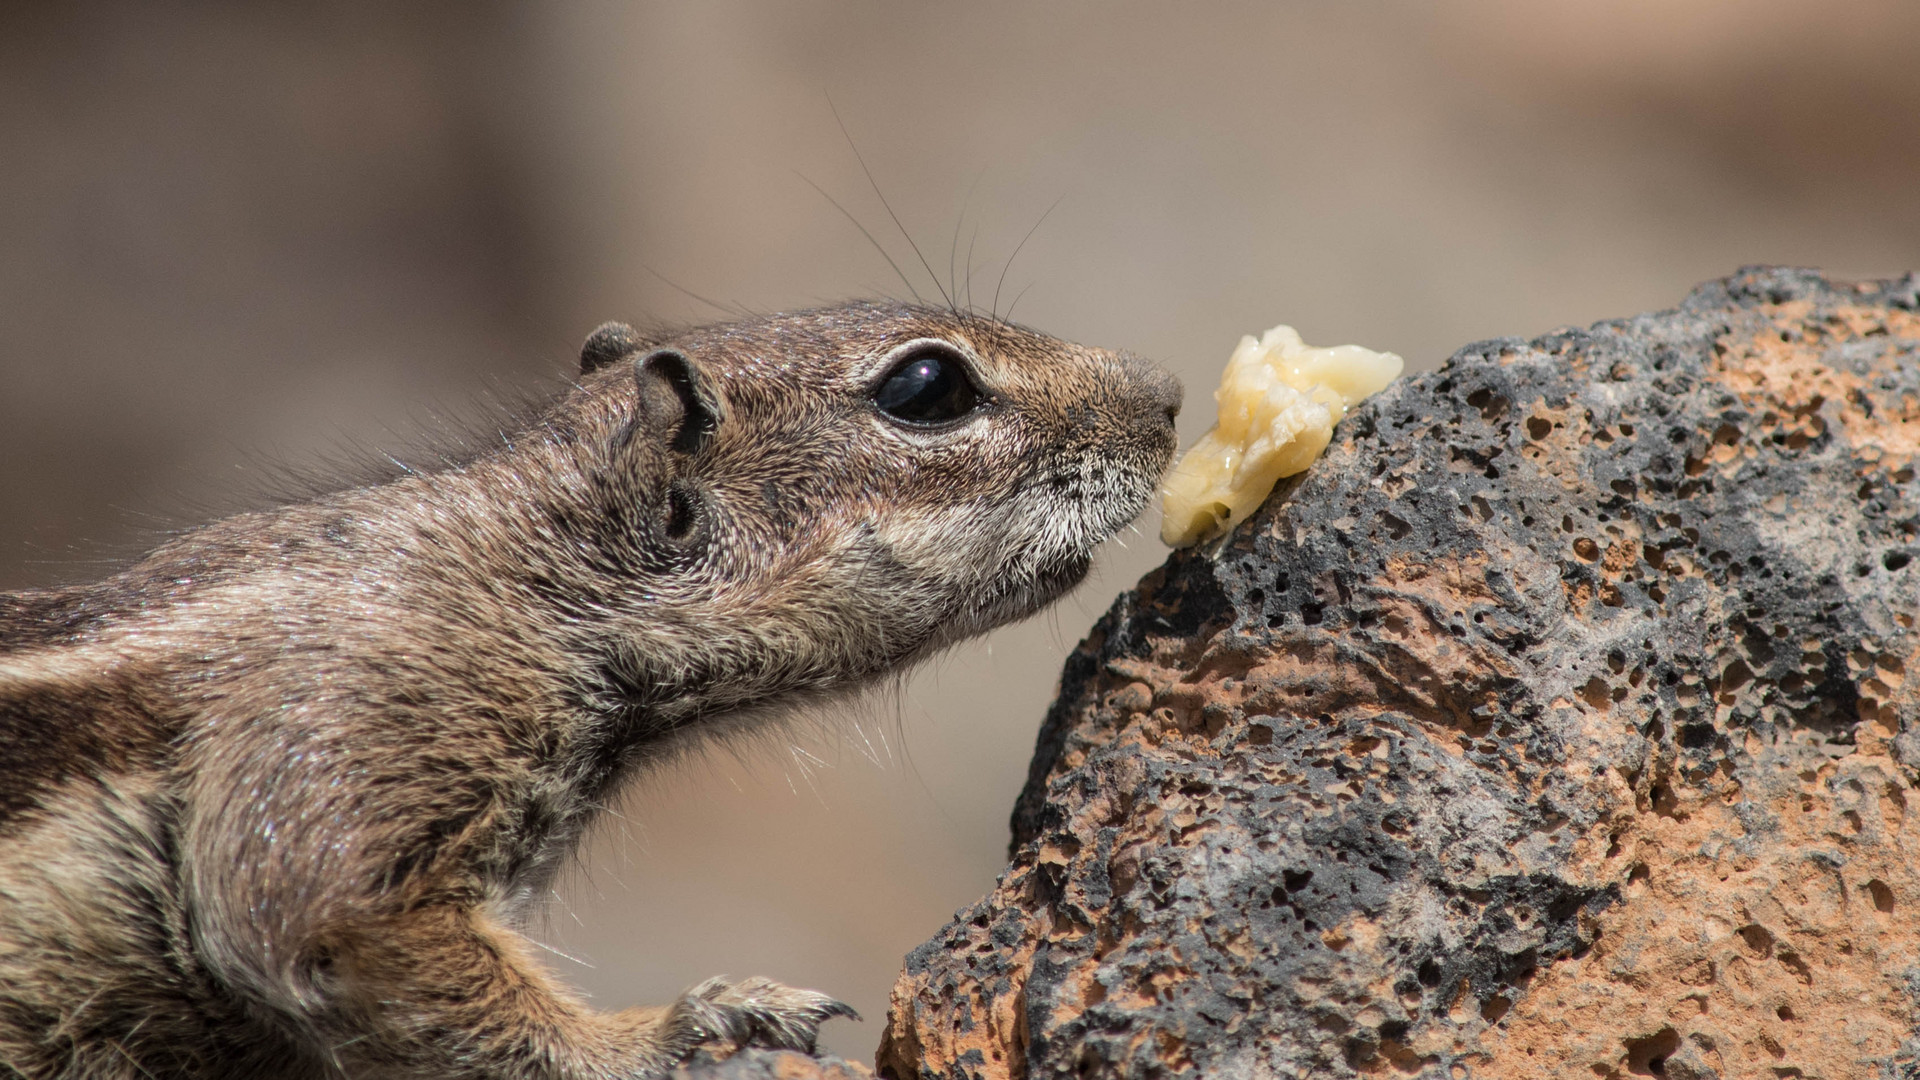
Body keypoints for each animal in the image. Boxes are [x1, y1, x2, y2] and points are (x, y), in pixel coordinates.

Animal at [0, 303, 1182, 1076]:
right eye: (928, 388)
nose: (1168, 393)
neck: (511, 580)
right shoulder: (343, 732)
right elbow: (321, 925)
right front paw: (677, 1026)